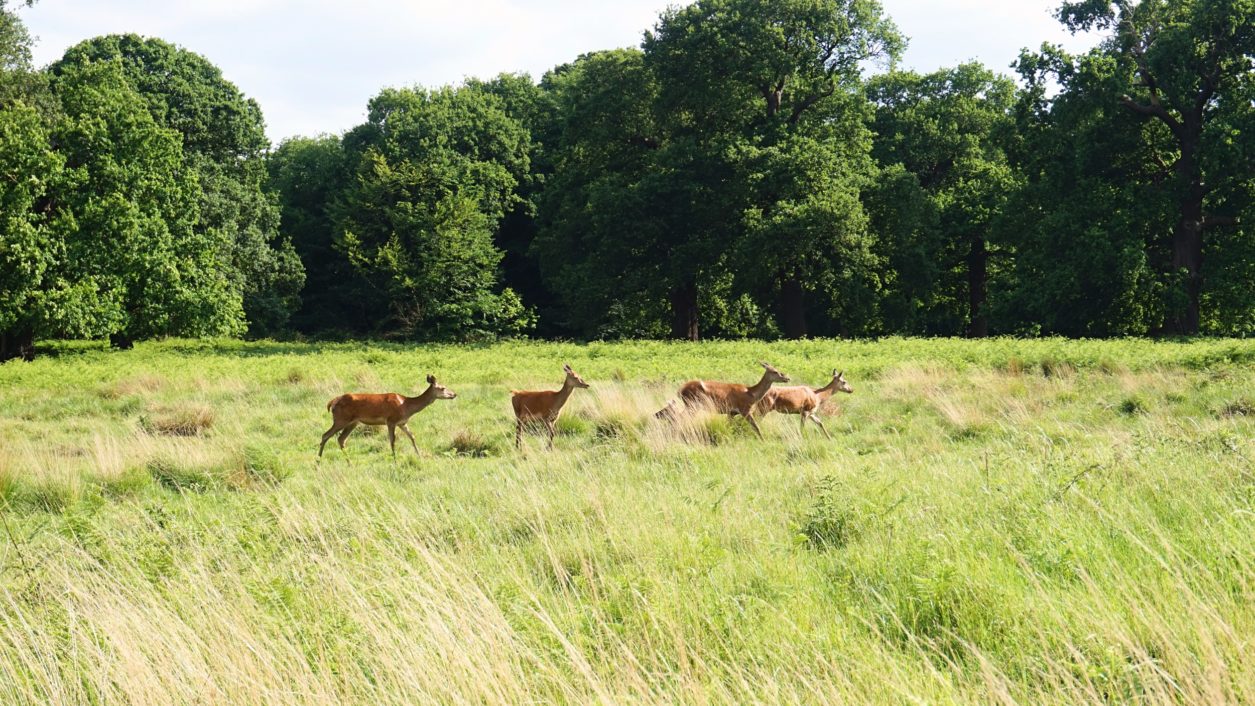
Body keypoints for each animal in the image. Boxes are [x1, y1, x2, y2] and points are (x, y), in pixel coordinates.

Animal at [318, 374, 457, 459]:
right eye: (443, 388)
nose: (454, 394)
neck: (407, 406)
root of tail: (332, 403)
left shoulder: (402, 422)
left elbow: (412, 437)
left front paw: (419, 456)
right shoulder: (391, 420)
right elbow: (392, 441)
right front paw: (395, 460)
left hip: (353, 422)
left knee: (341, 439)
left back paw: (349, 462)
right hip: (341, 419)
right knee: (325, 435)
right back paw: (318, 460)